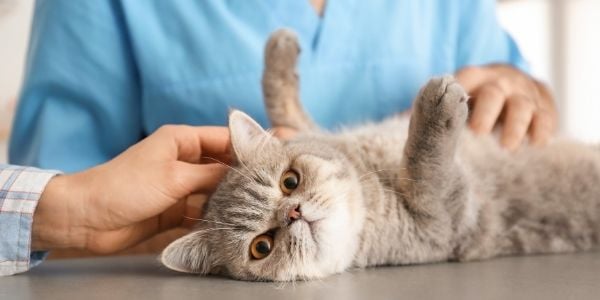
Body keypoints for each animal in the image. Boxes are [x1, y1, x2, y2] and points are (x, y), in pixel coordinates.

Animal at [159, 28, 600, 282]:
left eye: (290, 181)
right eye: (261, 247)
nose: (293, 213)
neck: (371, 172)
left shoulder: (309, 128)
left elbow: (283, 104)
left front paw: (279, 52)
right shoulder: (444, 223)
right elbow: (427, 169)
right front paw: (436, 111)